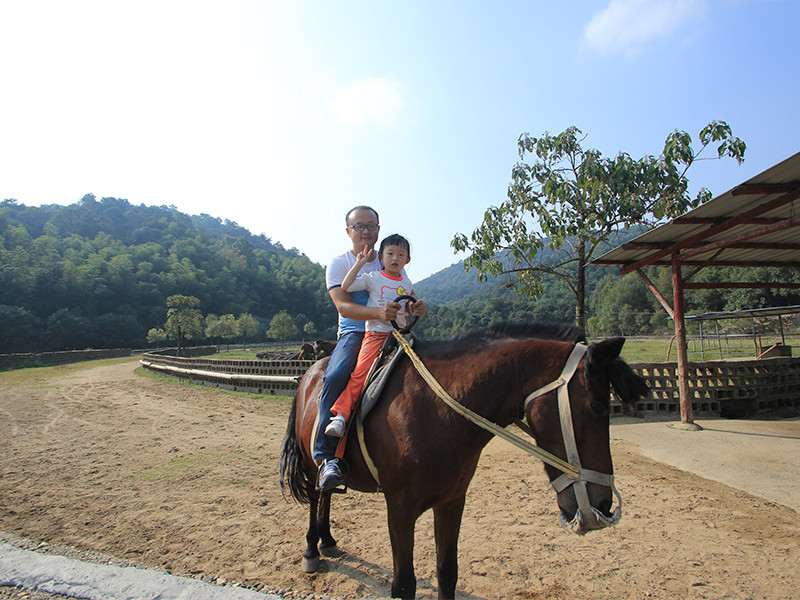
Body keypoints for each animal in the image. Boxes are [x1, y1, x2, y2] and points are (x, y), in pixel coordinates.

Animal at [278, 324, 648, 600]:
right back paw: (312, 550)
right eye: (597, 407)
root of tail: (311, 372)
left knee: (326, 496)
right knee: (315, 497)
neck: (436, 410)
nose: (603, 505)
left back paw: (328, 540)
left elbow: (447, 573)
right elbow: (404, 584)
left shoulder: (452, 501)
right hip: (311, 463)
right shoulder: (399, 508)